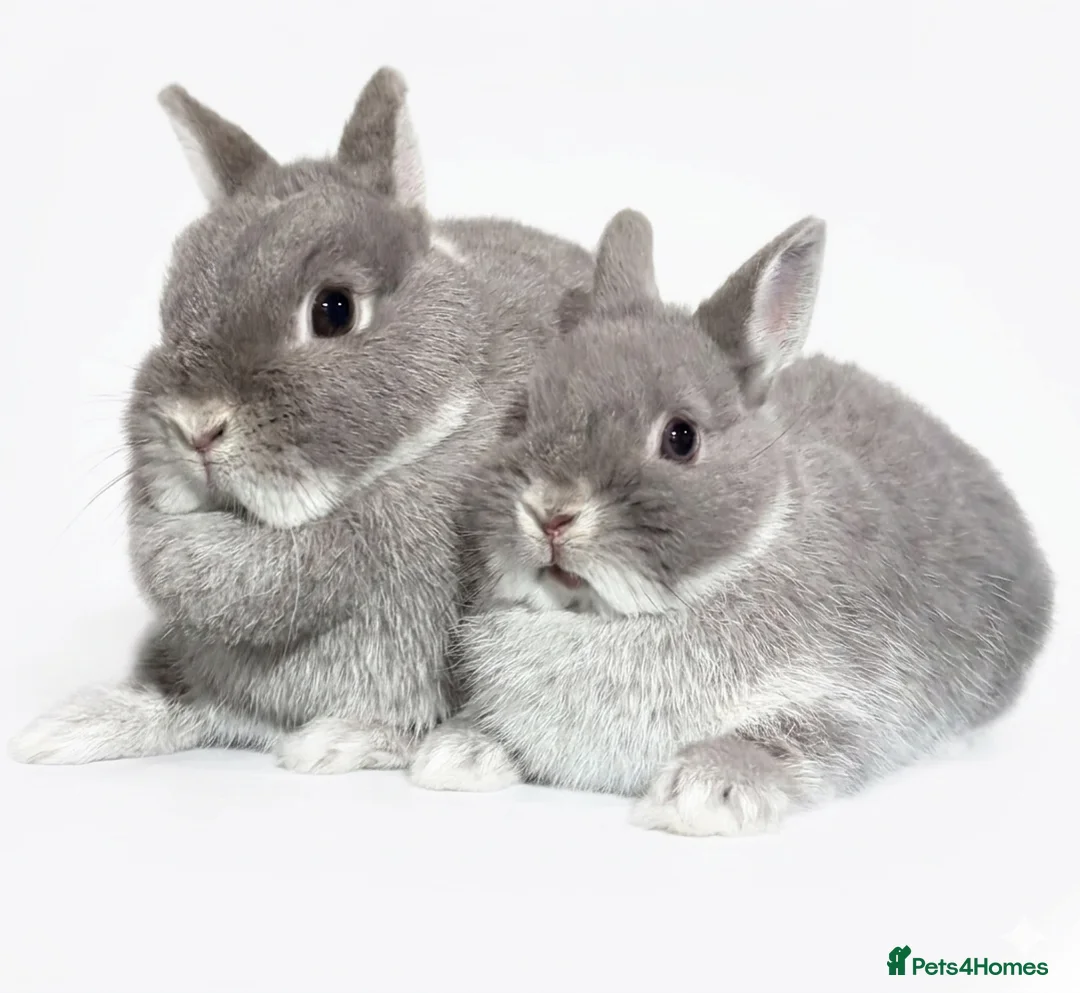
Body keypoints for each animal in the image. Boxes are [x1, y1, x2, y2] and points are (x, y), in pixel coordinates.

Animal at [9, 68, 592, 773]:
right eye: (170, 308)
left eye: (334, 310)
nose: (195, 427)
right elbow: (180, 702)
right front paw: (70, 727)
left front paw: (366, 743)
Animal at [408, 208, 1055, 835]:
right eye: (523, 414)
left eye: (681, 437)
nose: (550, 512)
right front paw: (455, 754)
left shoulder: (849, 706)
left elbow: (785, 744)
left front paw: (703, 795)